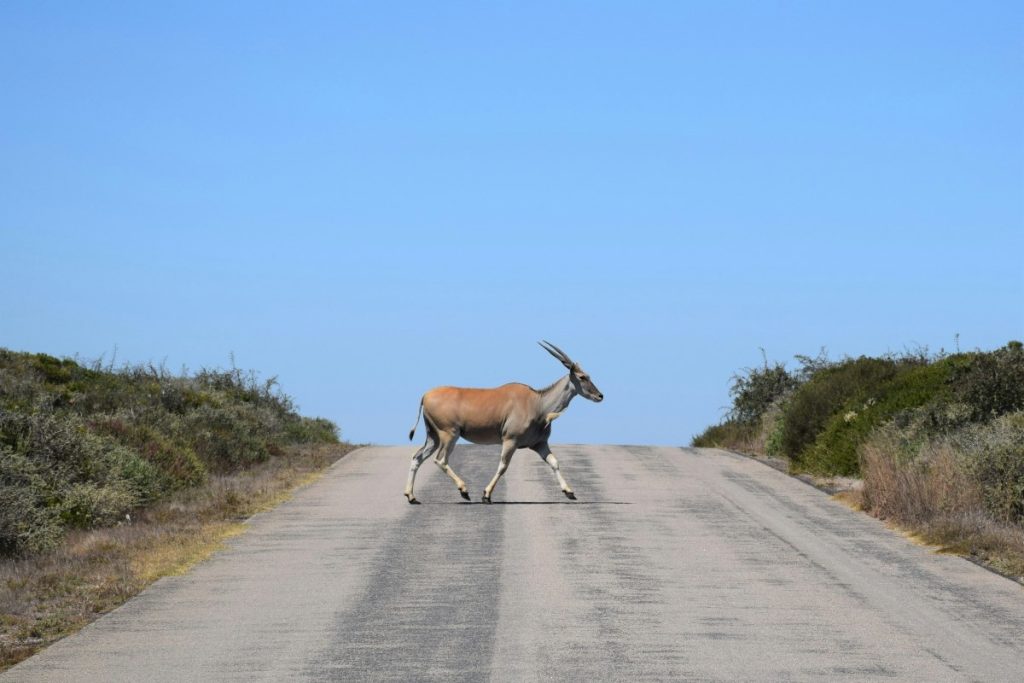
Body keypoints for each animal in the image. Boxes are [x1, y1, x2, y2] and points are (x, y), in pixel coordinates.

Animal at [403, 339, 602, 501]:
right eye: (582, 377)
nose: (600, 395)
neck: (538, 404)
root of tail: (425, 395)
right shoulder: (510, 440)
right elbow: (503, 466)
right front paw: (486, 494)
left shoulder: (539, 444)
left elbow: (555, 462)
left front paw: (569, 492)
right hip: (449, 434)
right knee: (440, 460)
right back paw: (464, 490)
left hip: (433, 437)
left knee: (417, 457)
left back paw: (411, 496)